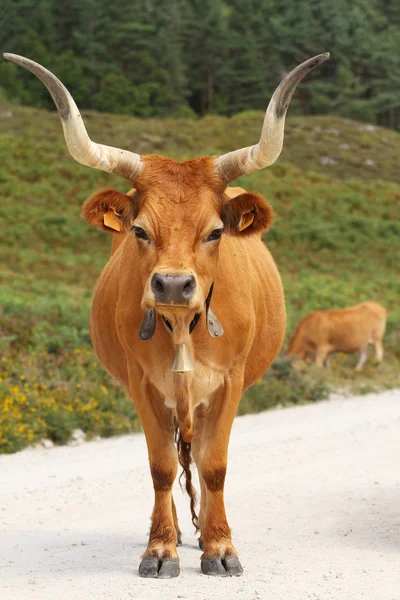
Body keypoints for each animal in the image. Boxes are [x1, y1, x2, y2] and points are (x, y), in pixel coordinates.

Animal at [6, 54, 330, 580]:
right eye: (139, 229)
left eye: (215, 231)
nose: (174, 285)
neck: (182, 329)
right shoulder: (142, 383)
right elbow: (160, 466)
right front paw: (160, 549)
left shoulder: (230, 381)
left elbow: (214, 465)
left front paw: (220, 546)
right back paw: (178, 531)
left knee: (198, 458)